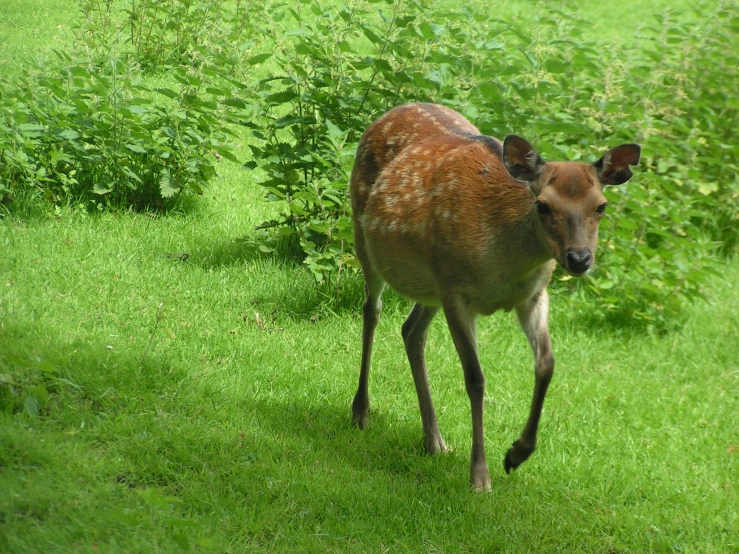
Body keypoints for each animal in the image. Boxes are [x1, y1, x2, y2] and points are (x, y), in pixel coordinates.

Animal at [348, 102, 640, 488]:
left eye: (601, 205)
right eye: (543, 205)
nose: (579, 258)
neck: (506, 266)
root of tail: (391, 111)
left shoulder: (533, 295)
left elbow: (546, 364)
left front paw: (517, 454)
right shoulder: (456, 290)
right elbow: (475, 378)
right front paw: (480, 476)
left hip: (431, 284)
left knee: (411, 330)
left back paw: (434, 440)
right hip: (365, 236)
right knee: (372, 310)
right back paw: (361, 411)